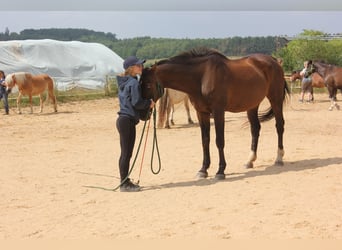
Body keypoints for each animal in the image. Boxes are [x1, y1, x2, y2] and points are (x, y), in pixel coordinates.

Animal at [140, 47, 290, 180]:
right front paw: (203, 170)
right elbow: (205, 141)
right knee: (255, 129)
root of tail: (274, 60)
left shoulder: (218, 111)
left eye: (148, 84)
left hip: (275, 99)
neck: (202, 76)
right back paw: (249, 161)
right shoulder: (202, 113)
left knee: (279, 126)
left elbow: (219, 141)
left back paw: (279, 158)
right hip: (252, 105)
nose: (143, 112)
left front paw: (220, 171)